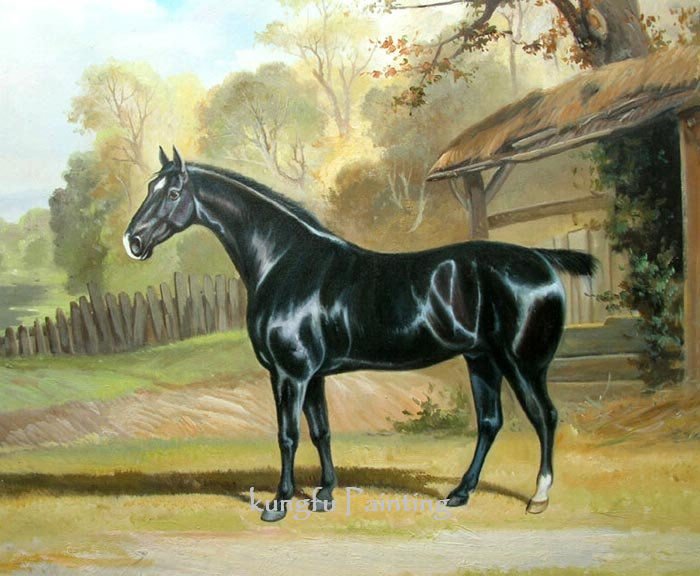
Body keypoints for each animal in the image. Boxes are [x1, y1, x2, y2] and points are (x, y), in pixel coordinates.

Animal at [124, 146, 597, 522]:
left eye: (171, 193)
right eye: (149, 187)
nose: (134, 240)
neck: (285, 262)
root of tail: (540, 258)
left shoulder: (290, 374)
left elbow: (288, 435)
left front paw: (279, 503)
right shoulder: (312, 376)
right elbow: (321, 431)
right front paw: (325, 494)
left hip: (523, 364)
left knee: (545, 416)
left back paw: (538, 496)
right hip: (482, 360)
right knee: (490, 422)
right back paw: (460, 493)